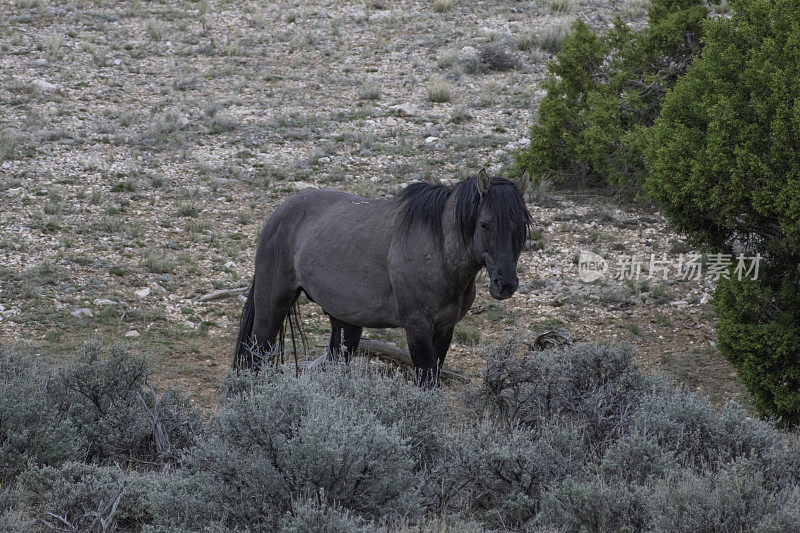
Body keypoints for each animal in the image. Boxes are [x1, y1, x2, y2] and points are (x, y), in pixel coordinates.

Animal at [233, 168, 532, 384]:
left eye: (521, 225)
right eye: (485, 224)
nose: (505, 284)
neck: (438, 251)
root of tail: (278, 215)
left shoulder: (445, 329)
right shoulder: (418, 328)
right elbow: (426, 383)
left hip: (343, 320)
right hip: (272, 307)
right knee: (254, 356)